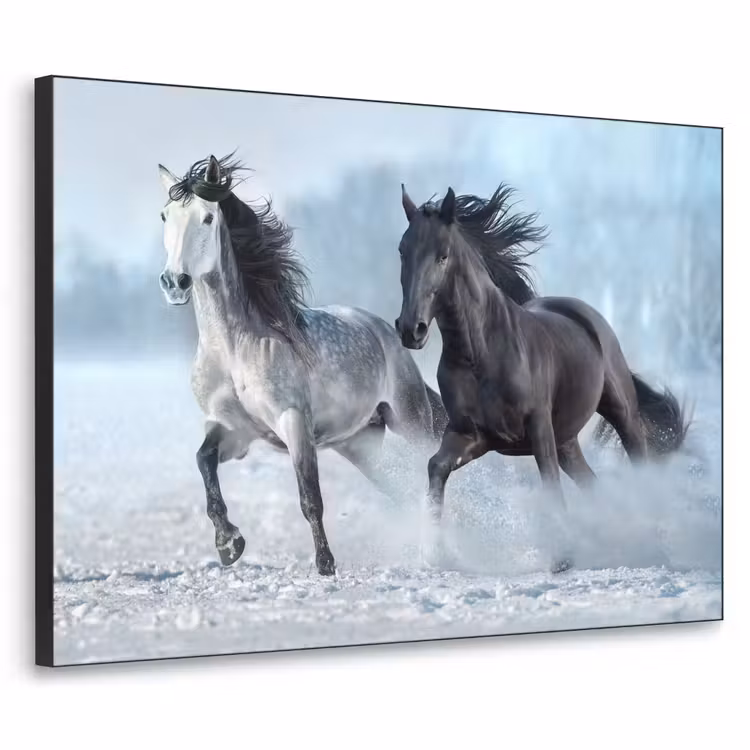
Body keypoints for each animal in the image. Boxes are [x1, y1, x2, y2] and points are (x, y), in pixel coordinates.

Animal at [157, 154, 447, 576]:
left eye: (208, 218)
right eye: (165, 215)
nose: (174, 282)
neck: (234, 349)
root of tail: (386, 330)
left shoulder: (293, 422)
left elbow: (310, 497)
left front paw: (325, 564)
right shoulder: (234, 430)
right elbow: (204, 462)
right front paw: (229, 544)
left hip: (411, 422)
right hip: (359, 444)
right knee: (403, 490)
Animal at [395, 183, 689, 572]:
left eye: (443, 256)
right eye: (402, 251)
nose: (411, 329)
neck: (481, 353)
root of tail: (584, 314)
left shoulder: (537, 428)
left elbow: (549, 484)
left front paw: (563, 557)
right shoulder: (472, 435)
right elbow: (436, 467)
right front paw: (435, 553)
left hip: (618, 411)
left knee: (637, 462)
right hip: (567, 441)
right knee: (591, 483)